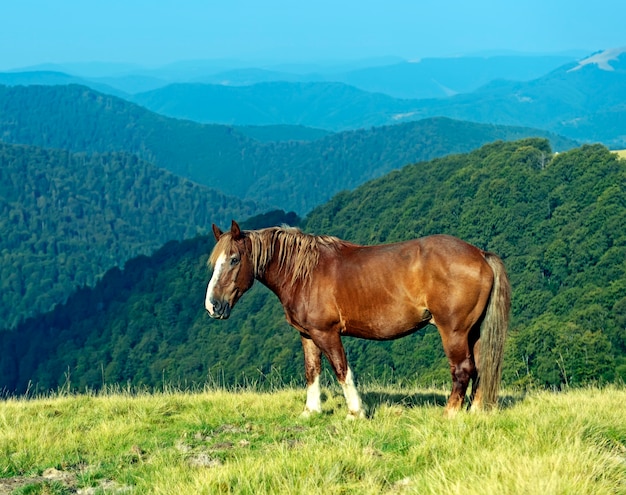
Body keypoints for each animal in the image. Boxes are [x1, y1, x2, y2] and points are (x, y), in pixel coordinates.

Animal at [205, 221, 508, 418]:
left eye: (234, 259)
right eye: (214, 262)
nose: (212, 306)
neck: (305, 272)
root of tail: (480, 254)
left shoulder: (327, 333)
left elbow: (341, 370)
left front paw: (355, 412)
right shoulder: (308, 335)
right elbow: (312, 371)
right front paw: (310, 411)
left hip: (453, 331)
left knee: (462, 369)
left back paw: (450, 414)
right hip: (473, 332)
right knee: (480, 367)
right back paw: (476, 411)